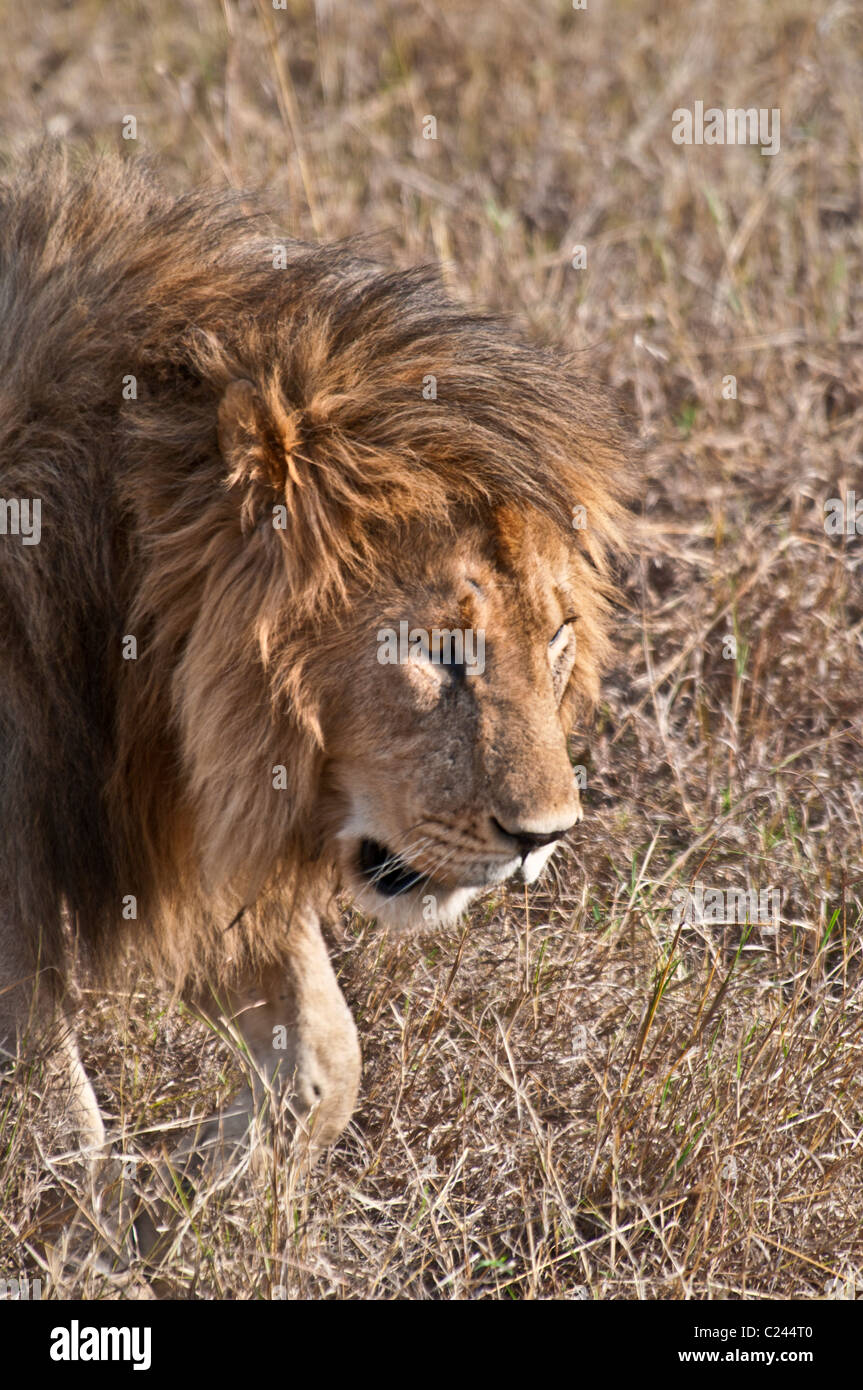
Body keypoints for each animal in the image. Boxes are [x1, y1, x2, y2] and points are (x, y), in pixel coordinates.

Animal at [0, 150, 629, 1164]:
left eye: (557, 639)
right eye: (435, 649)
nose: (545, 838)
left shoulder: (198, 814)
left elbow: (330, 1055)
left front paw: (205, 1186)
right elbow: (55, 1125)